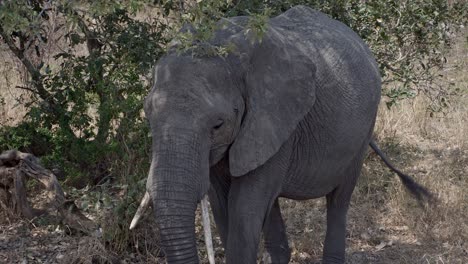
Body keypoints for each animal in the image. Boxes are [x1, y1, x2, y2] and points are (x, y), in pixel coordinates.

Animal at [132, 5, 432, 264]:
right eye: (148, 115)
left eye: (217, 125)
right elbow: (222, 204)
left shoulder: (277, 121)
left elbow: (245, 209)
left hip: (364, 128)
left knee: (339, 200)